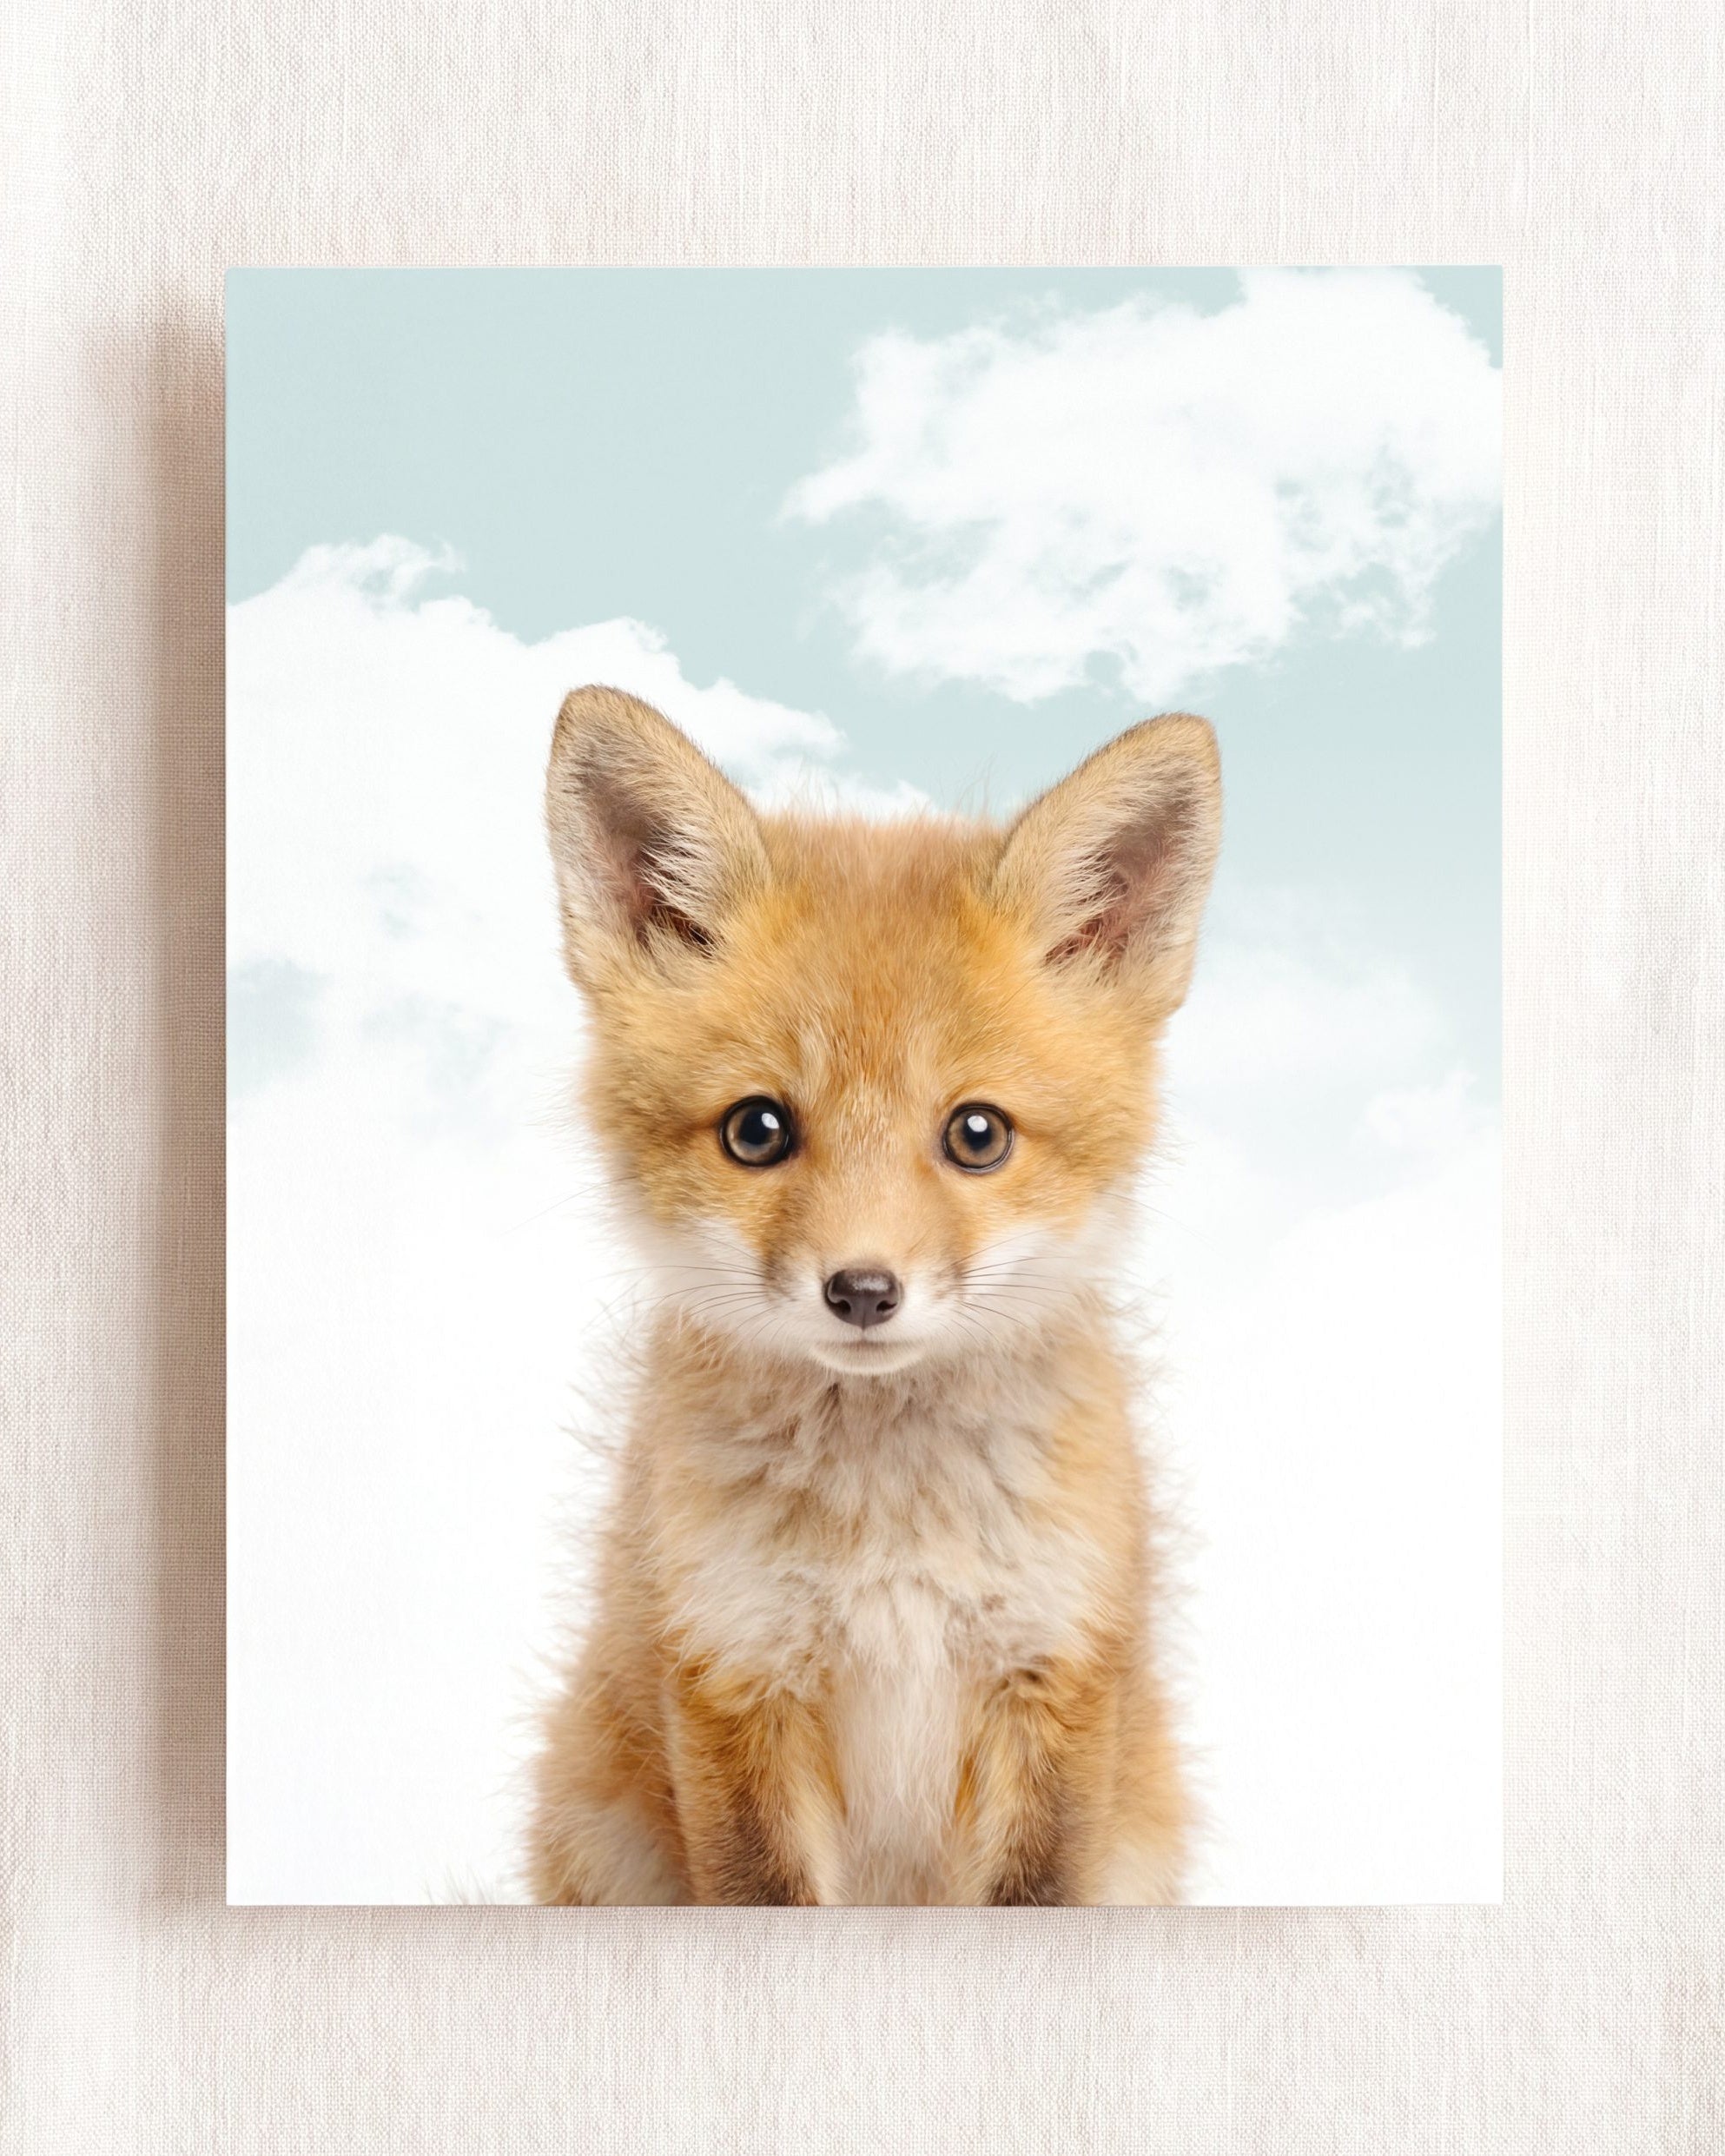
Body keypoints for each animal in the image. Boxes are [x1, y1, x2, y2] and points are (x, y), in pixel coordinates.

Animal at [525, 685, 1221, 1906]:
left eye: (977, 1134)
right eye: (757, 1129)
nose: (861, 1290)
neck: (891, 1532)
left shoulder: (1053, 1676)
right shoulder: (735, 1674)